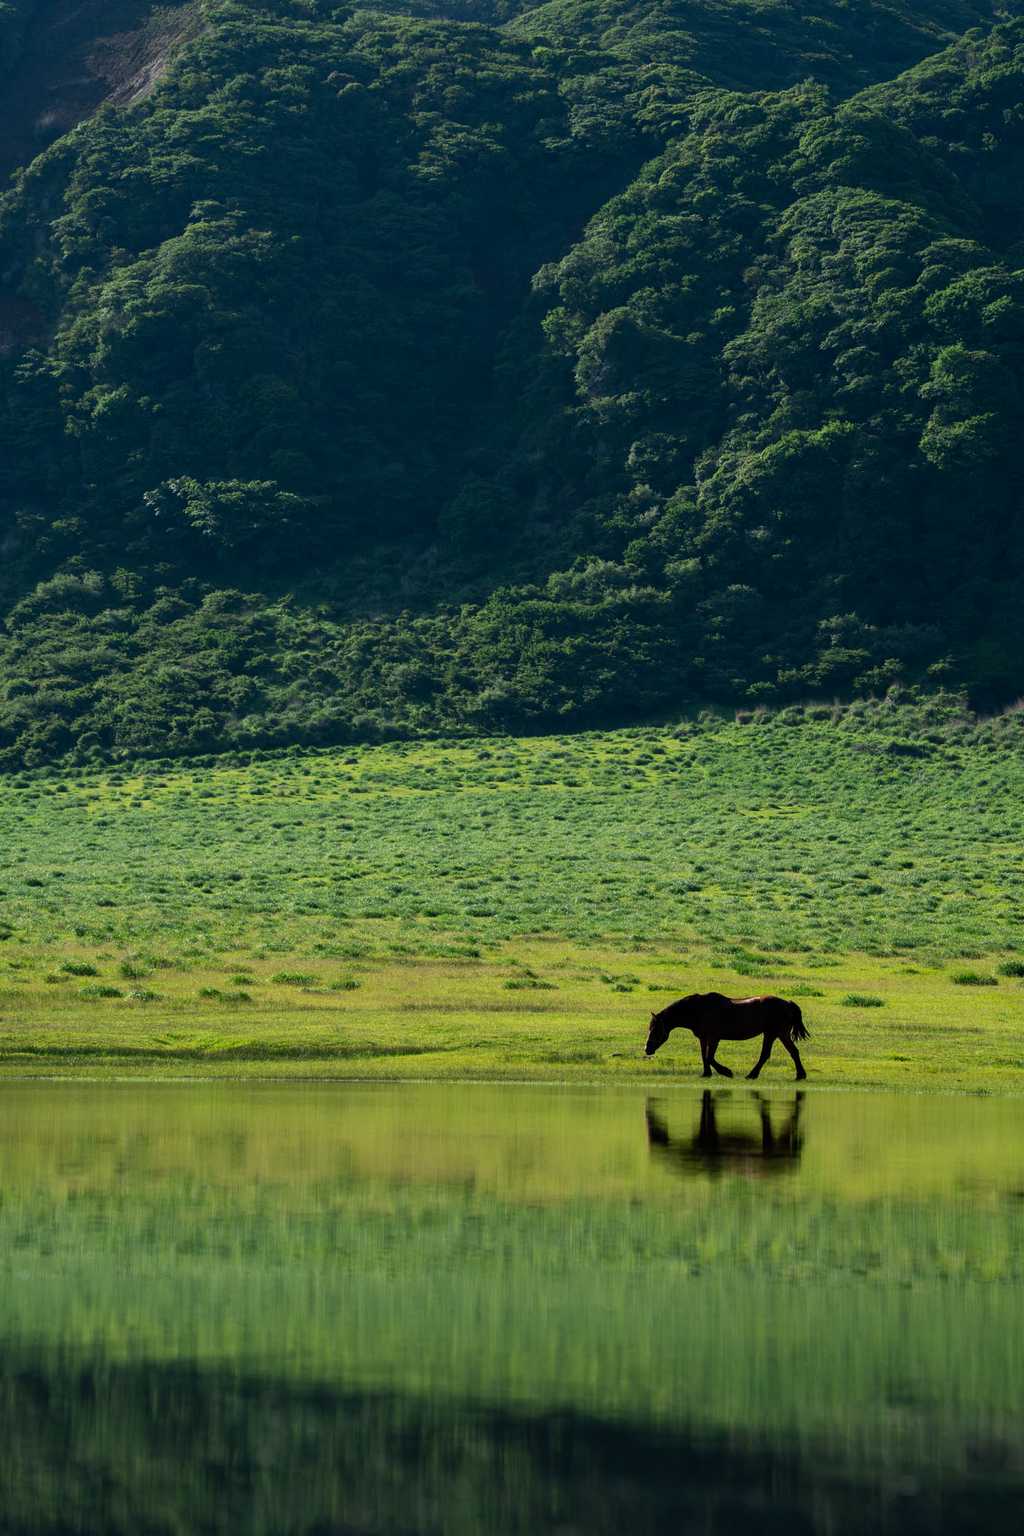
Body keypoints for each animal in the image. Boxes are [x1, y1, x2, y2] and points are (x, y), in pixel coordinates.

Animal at [644, 992, 809, 1079]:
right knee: (784, 1053)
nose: (647, 1049)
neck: (698, 1010)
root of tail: (788, 1004)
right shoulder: (703, 1038)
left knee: (776, 1053)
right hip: (774, 1034)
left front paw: (726, 1072)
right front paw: (706, 1073)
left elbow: (710, 1057)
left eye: (655, 1029)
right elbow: (704, 1056)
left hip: (777, 1033)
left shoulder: (714, 1038)